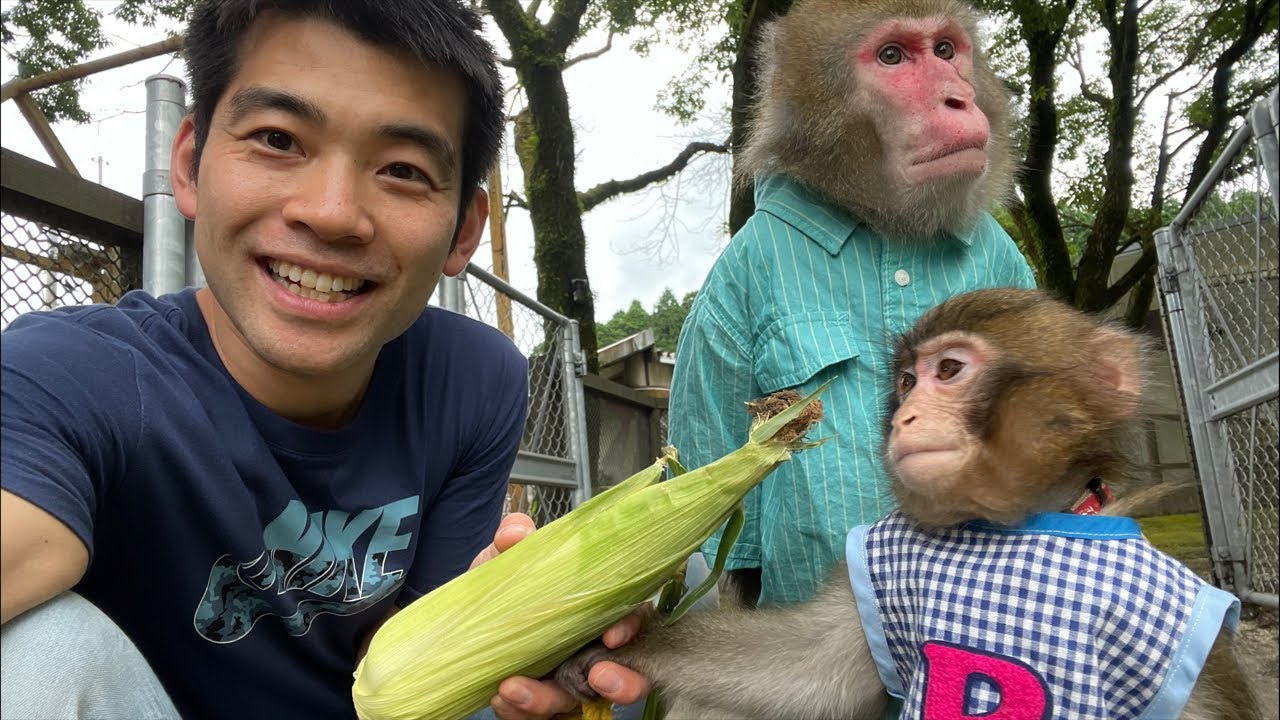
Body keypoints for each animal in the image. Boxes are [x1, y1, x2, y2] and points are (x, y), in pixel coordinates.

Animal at [560, 288, 1262, 720]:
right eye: (905, 382)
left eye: (948, 370)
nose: (906, 416)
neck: (1010, 527)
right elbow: (805, 672)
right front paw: (604, 651)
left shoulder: (1172, 635)